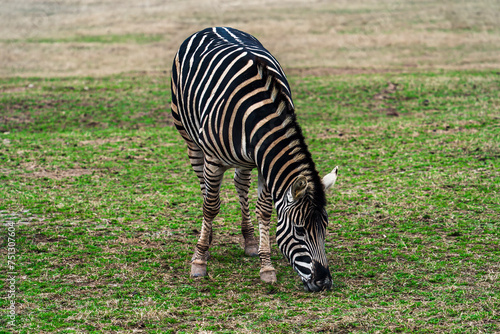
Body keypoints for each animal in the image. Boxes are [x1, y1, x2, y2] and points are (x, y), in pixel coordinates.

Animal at [172, 27, 340, 290]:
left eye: (325, 227)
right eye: (300, 230)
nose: (323, 282)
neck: (260, 115)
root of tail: (213, 27)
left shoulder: (265, 163)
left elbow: (264, 210)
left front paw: (266, 265)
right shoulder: (214, 160)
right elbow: (211, 206)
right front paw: (199, 261)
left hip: (245, 159)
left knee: (240, 185)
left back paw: (249, 239)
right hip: (190, 139)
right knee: (204, 187)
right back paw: (206, 241)